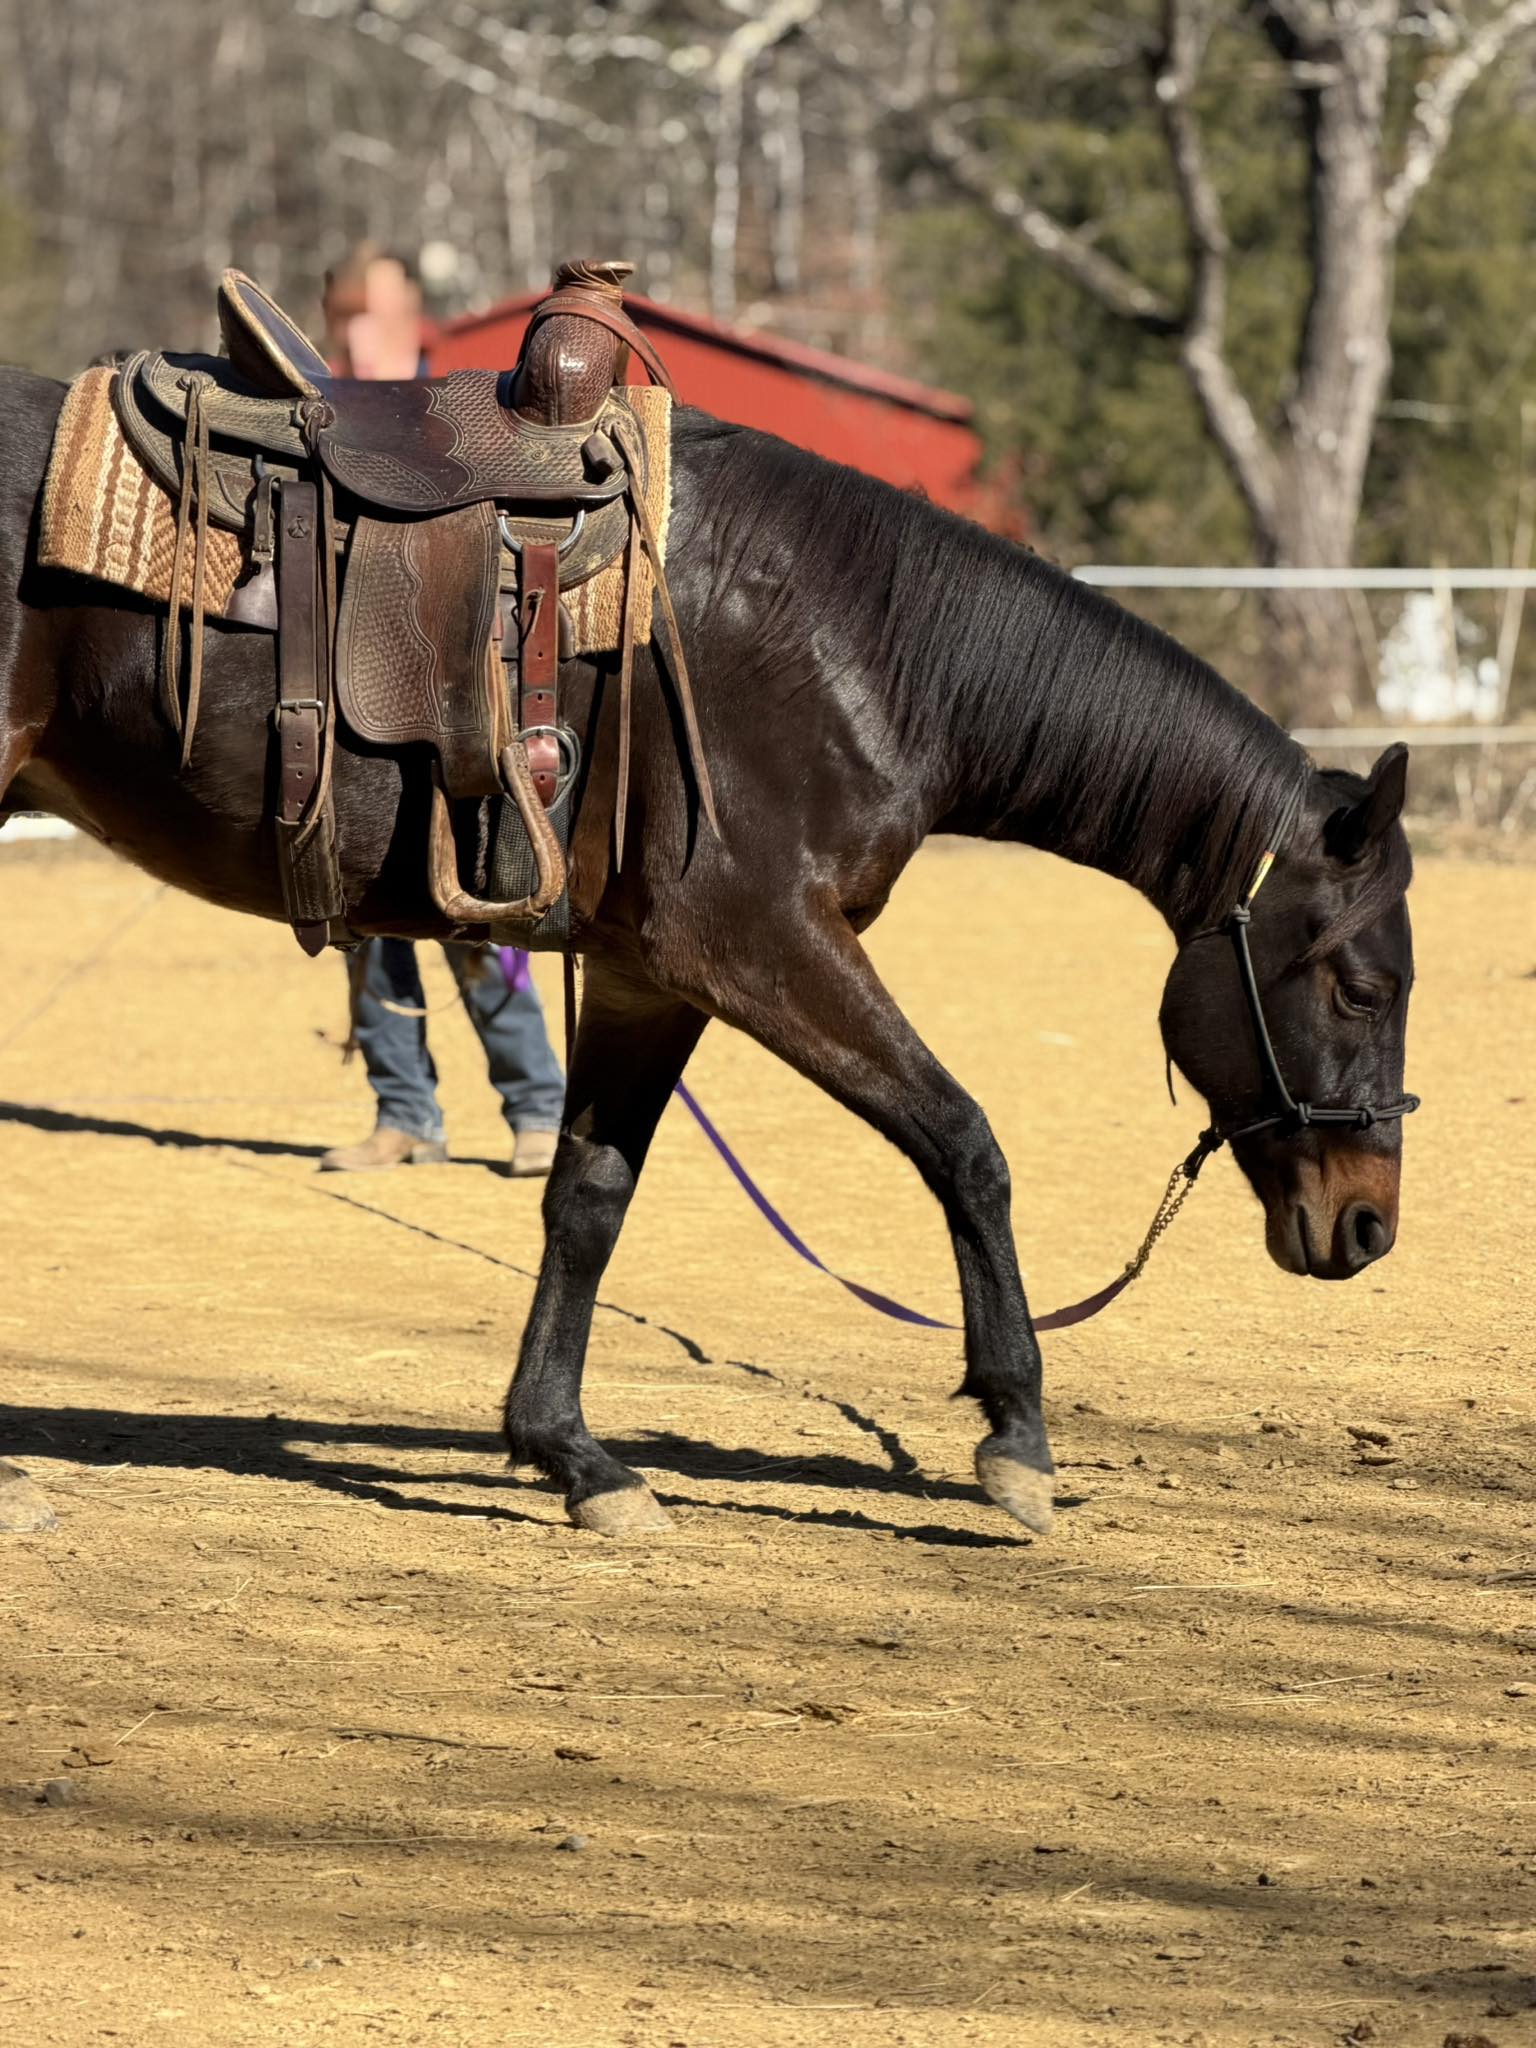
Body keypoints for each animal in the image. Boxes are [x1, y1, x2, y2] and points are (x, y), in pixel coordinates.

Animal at [0, 370, 1415, 1539]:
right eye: (1363, 985)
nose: (1367, 1223)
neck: (860, 648)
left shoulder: (650, 974)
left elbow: (588, 1198)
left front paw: (572, 1454)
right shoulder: (759, 941)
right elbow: (964, 1143)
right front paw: (1017, 1438)